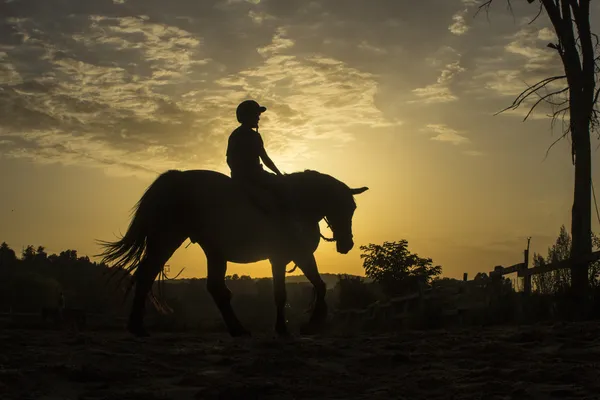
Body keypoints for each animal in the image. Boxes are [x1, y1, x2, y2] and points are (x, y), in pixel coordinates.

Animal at [98, 169, 368, 338]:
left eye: (353, 208)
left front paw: (299, 326)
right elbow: (297, 291)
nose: (347, 244)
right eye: (346, 207)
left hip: (212, 251)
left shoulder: (288, 258)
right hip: (167, 239)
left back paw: (237, 329)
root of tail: (174, 179)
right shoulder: (292, 255)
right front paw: (306, 325)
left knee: (215, 288)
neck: (298, 204)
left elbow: (301, 289)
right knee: (147, 274)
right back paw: (137, 326)